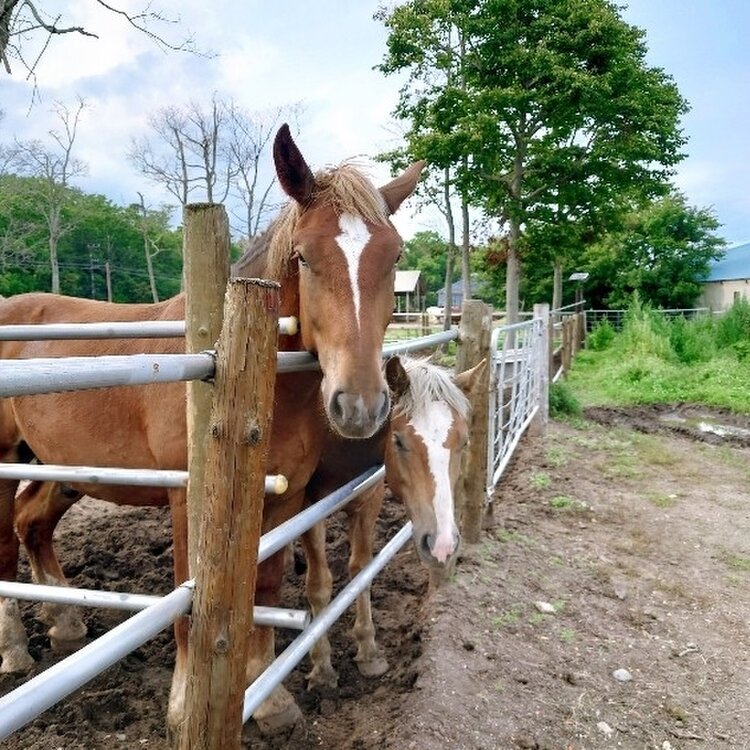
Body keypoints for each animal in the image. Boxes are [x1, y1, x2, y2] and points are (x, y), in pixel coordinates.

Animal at [0, 123, 425, 731]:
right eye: (303, 256)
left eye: (394, 256)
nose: (361, 404)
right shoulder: (187, 499)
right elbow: (187, 605)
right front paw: (183, 704)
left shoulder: (287, 499)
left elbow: (266, 589)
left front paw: (271, 700)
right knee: (5, 545)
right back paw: (15, 648)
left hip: (63, 467)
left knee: (32, 524)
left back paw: (67, 623)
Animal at [300, 355, 481, 693]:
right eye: (397, 439)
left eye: (464, 441)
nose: (442, 544)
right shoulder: (306, 510)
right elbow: (319, 585)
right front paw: (322, 667)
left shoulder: (369, 500)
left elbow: (361, 570)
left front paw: (368, 650)